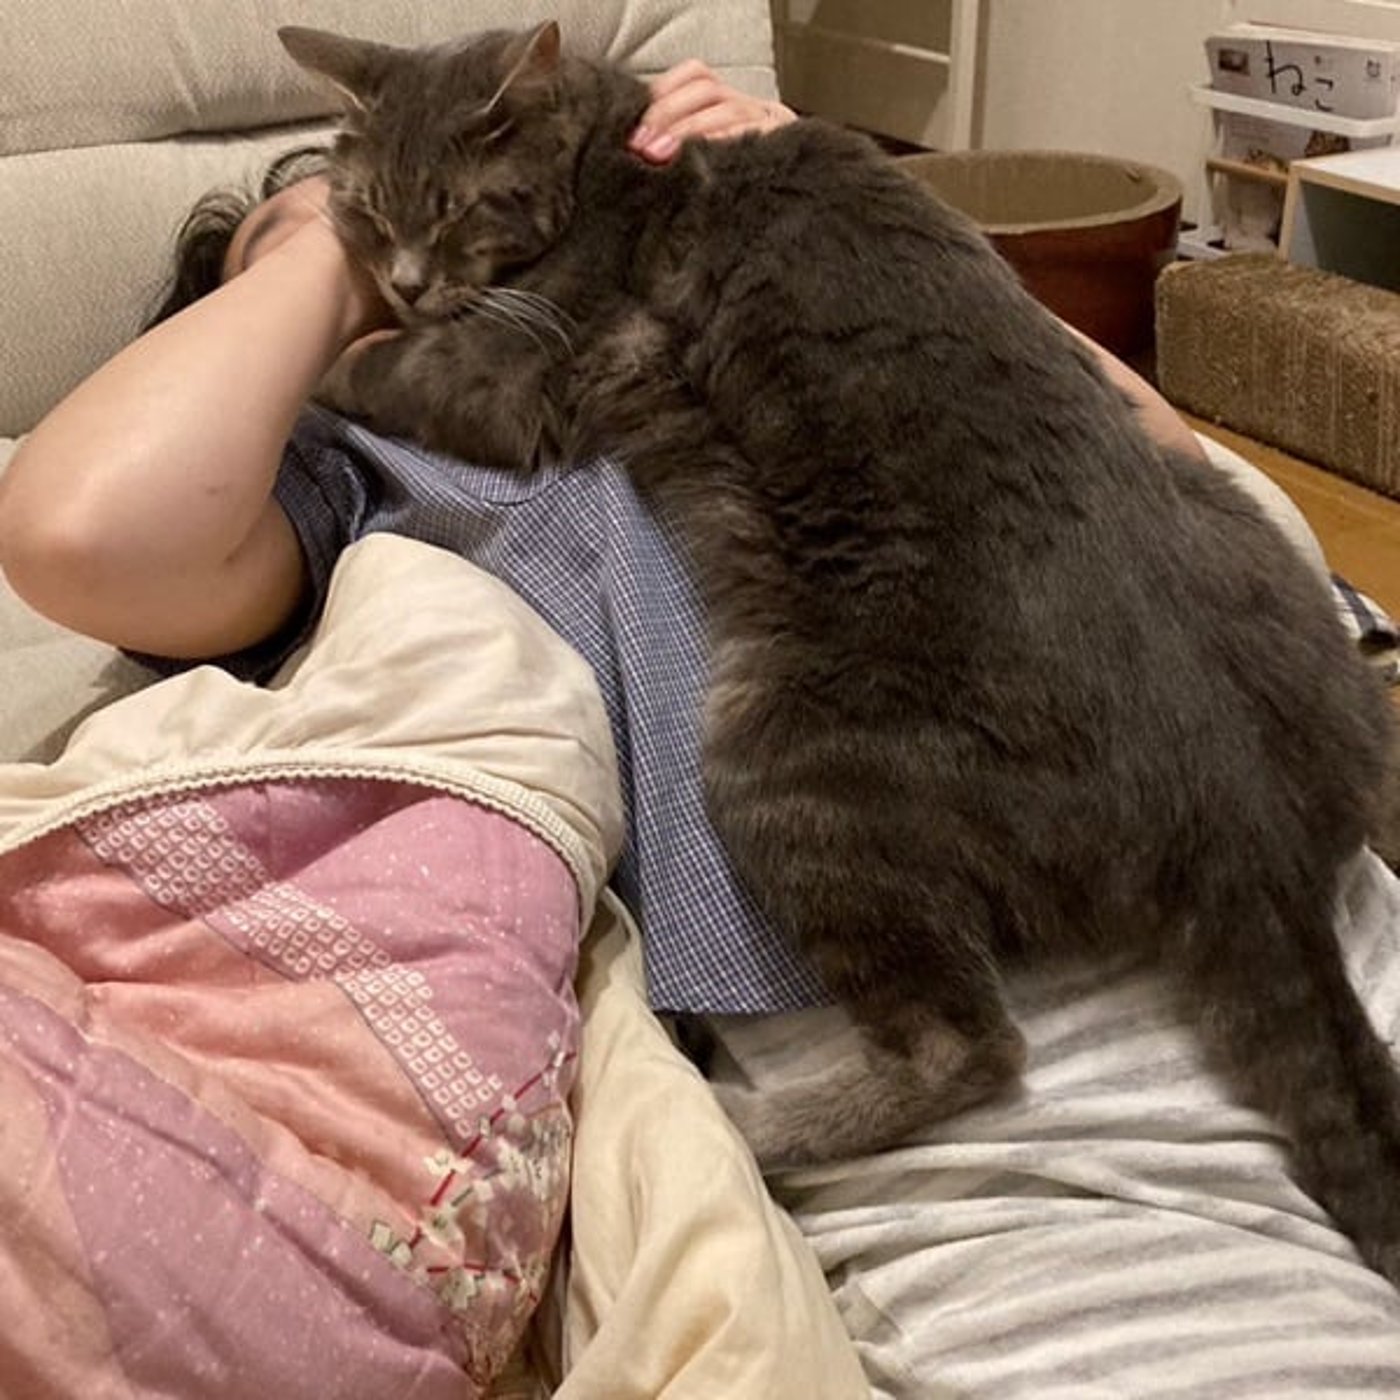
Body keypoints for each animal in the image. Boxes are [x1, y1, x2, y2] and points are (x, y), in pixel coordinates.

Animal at [278, 22, 1400, 1284]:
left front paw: (326, 362)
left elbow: (380, 370)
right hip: (1241, 530)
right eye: (370, 210)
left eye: (457, 207)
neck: (607, 151)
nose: (407, 279)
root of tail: (1241, 817)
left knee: (968, 1046)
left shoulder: (520, 372)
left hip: (789, 760)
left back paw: (735, 1124)